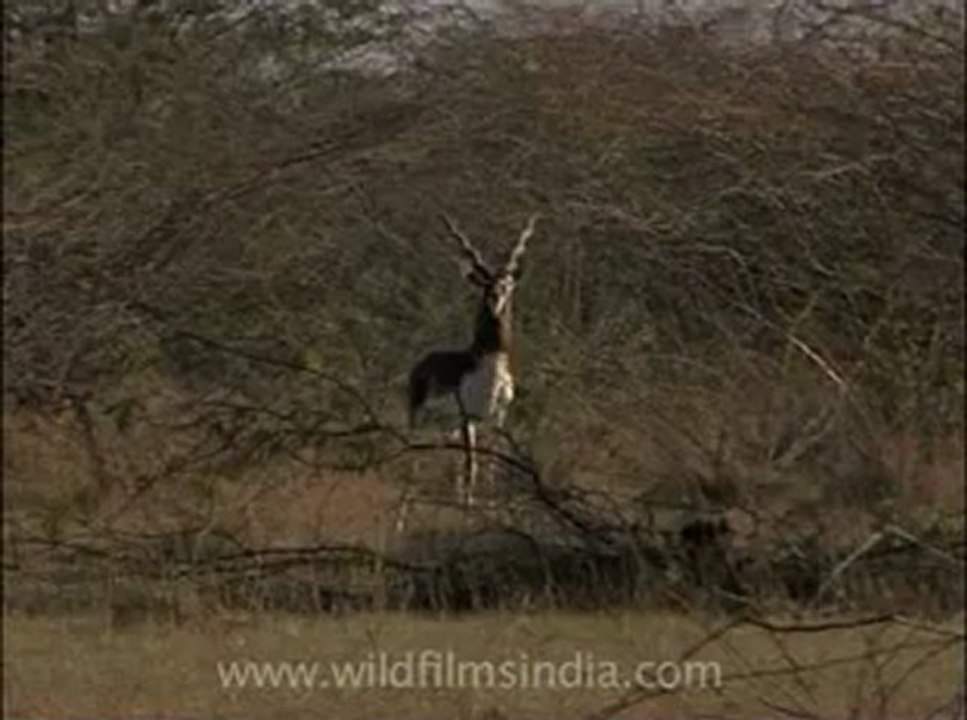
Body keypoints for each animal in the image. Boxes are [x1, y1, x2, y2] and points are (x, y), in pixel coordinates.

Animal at [407, 213, 539, 509]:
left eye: (506, 285)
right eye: (485, 285)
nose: (496, 299)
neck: (489, 368)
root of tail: (421, 363)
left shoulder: (497, 418)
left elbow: (491, 466)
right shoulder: (468, 415)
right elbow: (473, 467)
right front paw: (468, 511)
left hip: (448, 428)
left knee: (446, 459)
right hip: (421, 419)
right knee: (415, 457)